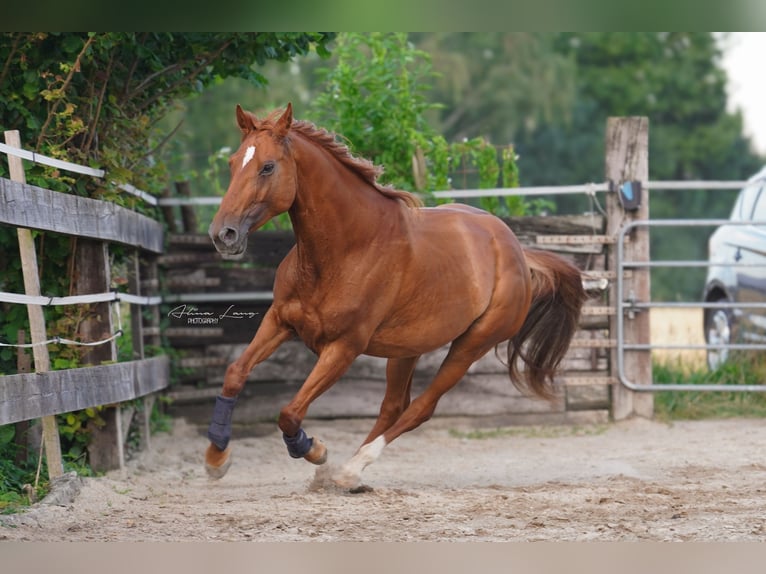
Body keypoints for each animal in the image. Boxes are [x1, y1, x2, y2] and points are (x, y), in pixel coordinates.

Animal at [204, 104, 588, 490]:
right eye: (233, 163)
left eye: (267, 166)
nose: (223, 234)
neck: (347, 248)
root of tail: (519, 253)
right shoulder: (280, 320)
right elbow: (235, 373)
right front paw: (216, 458)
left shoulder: (344, 347)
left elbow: (290, 412)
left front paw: (315, 450)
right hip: (406, 349)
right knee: (393, 406)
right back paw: (348, 471)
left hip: (471, 345)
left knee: (420, 408)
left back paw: (349, 470)